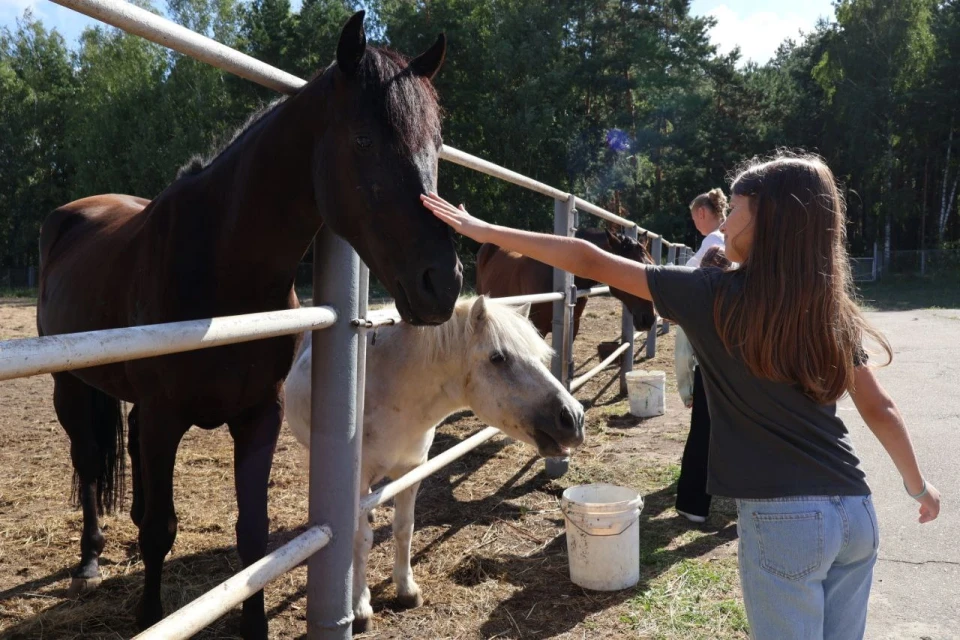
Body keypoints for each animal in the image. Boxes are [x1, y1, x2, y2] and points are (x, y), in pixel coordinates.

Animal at [33, 12, 462, 636]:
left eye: (436, 144)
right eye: (363, 140)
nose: (443, 283)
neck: (219, 265)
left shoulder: (260, 415)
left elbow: (254, 539)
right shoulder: (166, 418)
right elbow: (162, 530)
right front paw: (150, 613)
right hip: (70, 382)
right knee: (89, 463)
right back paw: (90, 559)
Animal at [284, 296, 584, 636]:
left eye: (541, 355)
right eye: (498, 357)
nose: (573, 418)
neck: (388, 390)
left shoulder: (411, 472)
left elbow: (404, 528)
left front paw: (406, 590)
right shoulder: (357, 482)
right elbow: (361, 542)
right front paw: (360, 608)